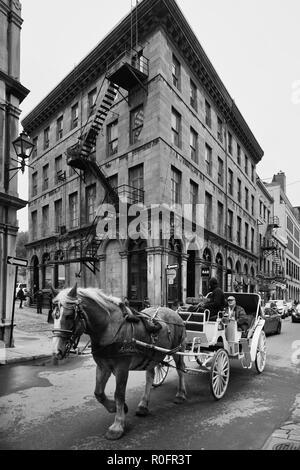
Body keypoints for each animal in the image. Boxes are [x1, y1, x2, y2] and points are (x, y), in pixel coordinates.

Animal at [52, 282, 188, 440]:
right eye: (53, 315)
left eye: (69, 316)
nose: (56, 352)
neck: (109, 327)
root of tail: (174, 312)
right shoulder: (102, 366)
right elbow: (98, 393)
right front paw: (114, 408)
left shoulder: (122, 367)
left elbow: (119, 394)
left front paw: (117, 425)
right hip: (151, 355)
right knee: (150, 376)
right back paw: (143, 405)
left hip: (178, 349)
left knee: (180, 369)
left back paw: (180, 394)